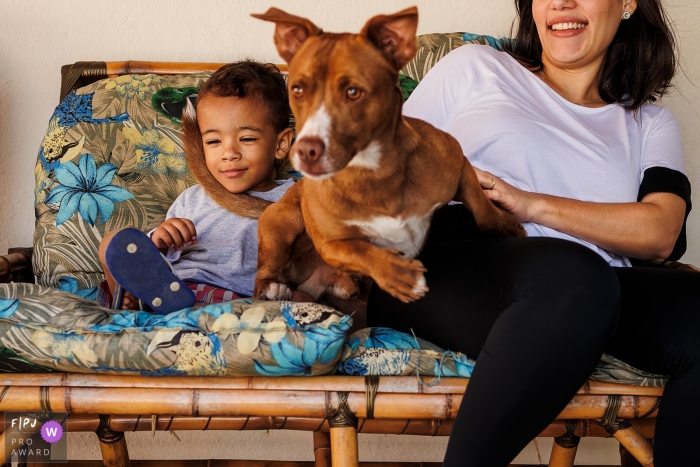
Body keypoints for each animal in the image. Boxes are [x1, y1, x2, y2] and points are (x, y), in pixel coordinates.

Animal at [252, 9, 524, 306]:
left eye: (353, 92)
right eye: (298, 90)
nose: (305, 151)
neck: (373, 173)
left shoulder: (458, 163)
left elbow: (483, 209)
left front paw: (507, 226)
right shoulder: (332, 245)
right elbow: (362, 251)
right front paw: (398, 275)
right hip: (281, 223)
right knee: (262, 276)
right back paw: (273, 288)